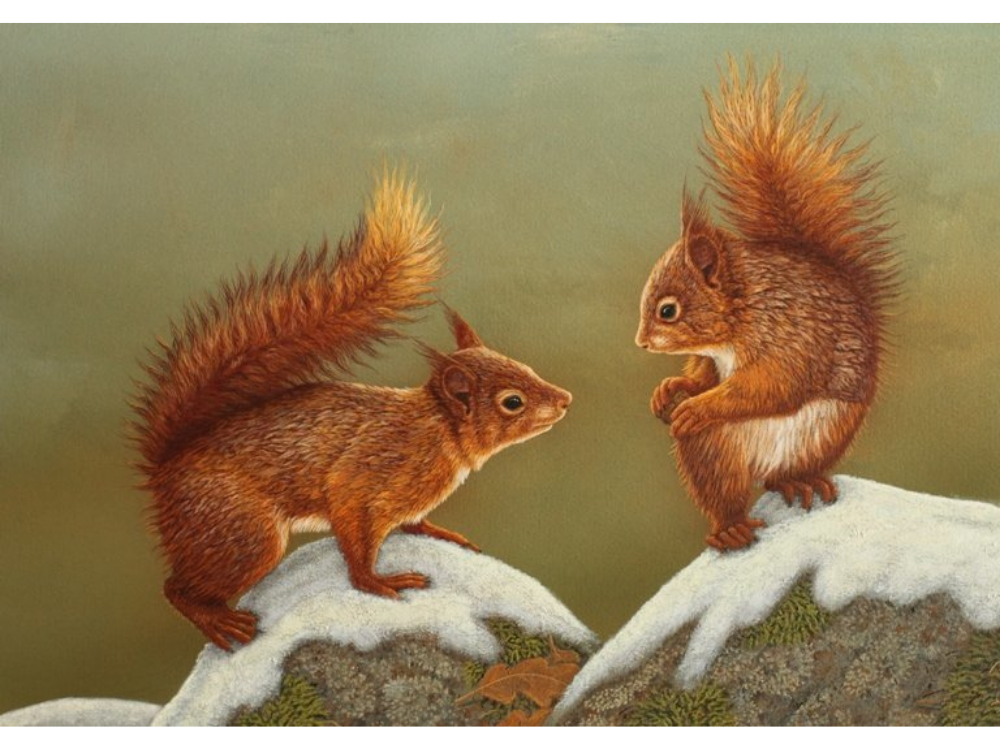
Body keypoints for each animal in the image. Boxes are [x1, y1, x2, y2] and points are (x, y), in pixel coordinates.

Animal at [130, 170, 572, 650]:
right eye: (512, 402)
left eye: (524, 366)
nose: (565, 399)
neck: (437, 430)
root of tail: (167, 468)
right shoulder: (362, 484)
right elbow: (358, 552)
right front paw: (380, 582)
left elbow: (415, 524)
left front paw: (441, 532)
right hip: (241, 532)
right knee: (176, 588)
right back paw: (217, 621)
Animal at [635, 57, 897, 552]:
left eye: (668, 310)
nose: (640, 343)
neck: (745, 309)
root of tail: (764, 468)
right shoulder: (712, 359)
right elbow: (702, 377)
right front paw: (672, 390)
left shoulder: (792, 338)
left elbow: (767, 385)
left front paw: (695, 405)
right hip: (713, 452)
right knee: (725, 494)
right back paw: (731, 527)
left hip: (822, 435)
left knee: (784, 475)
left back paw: (798, 482)